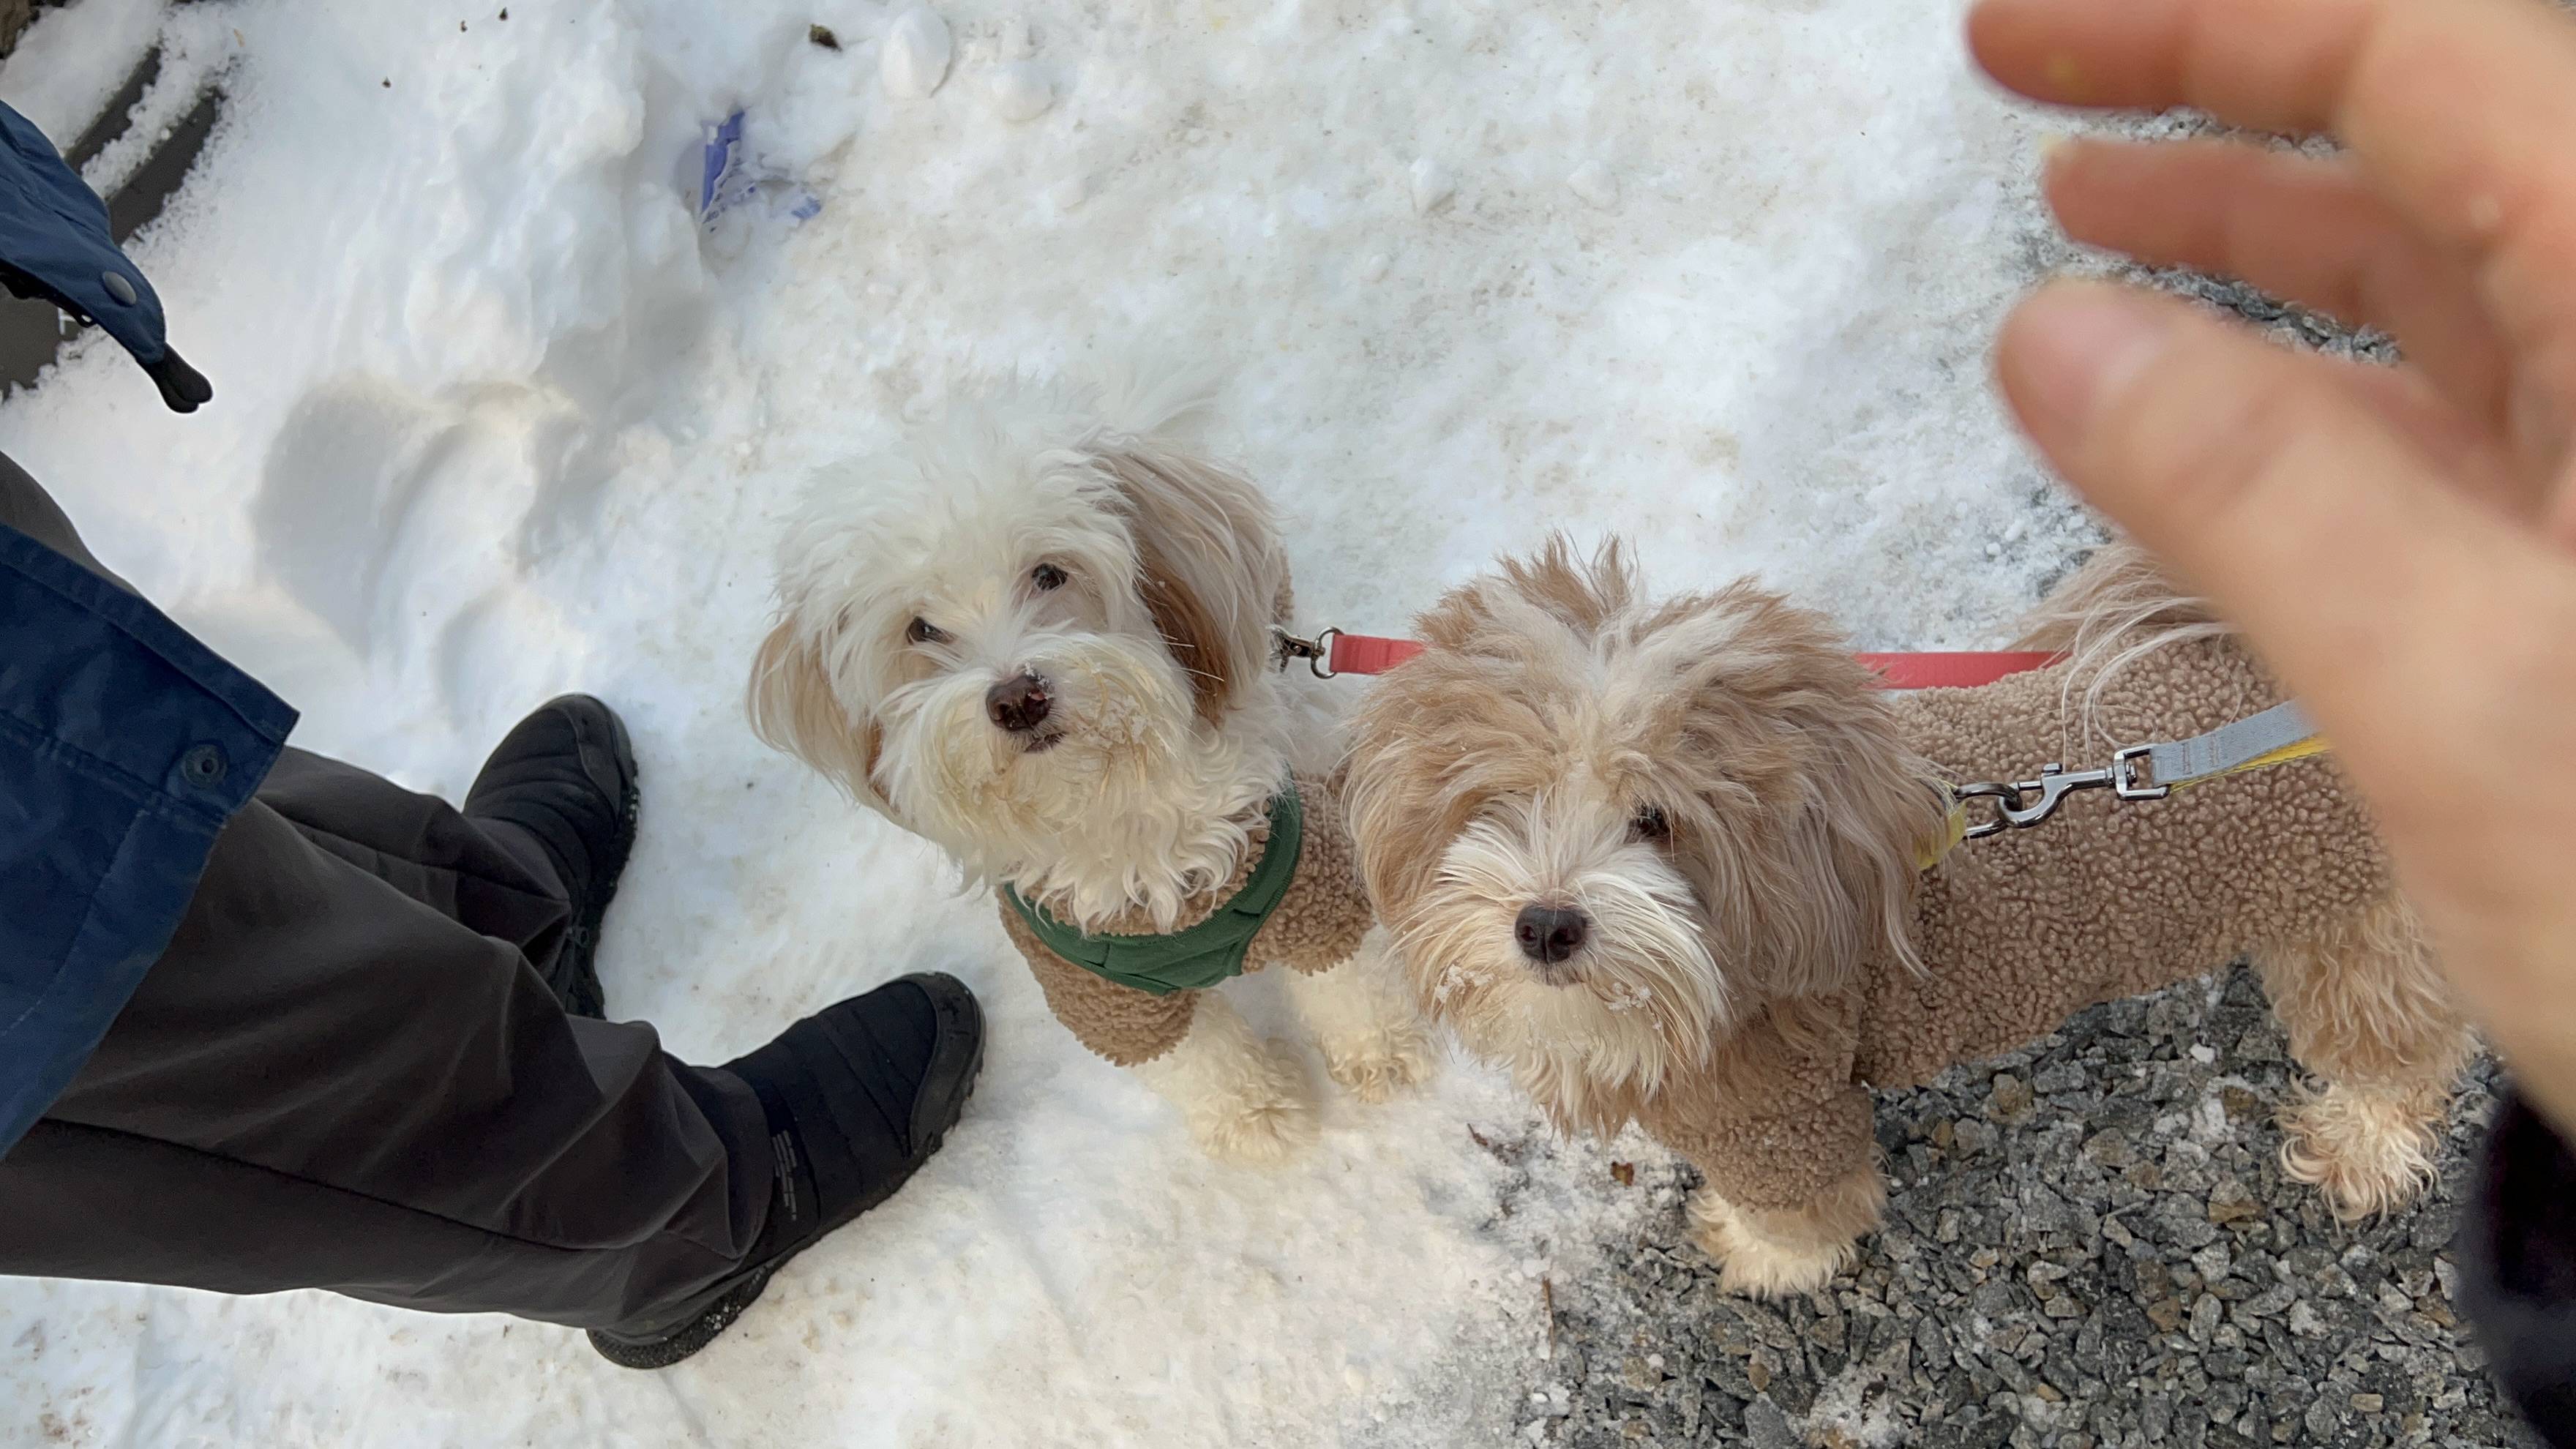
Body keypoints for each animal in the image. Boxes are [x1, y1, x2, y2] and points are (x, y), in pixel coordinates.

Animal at [746, 378, 1442, 1155]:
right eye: (920, 629)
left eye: (1050, 573)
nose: (1017, 699)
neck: (1108, 801)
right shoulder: (1103, 997)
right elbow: (1197, 1061)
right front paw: (1254, 1117)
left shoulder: (1308, 889)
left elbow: (1347, 984)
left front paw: (1379, 1051)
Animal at [1339, 536, 2463, 1289]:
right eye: (1498, 800)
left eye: (1655, 819)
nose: (1546, 924)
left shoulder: (1781, 1108)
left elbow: (1802, 1211)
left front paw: (1762, 1257)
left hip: (2359, 930)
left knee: (2397, 1053)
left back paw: (2361, 1145)